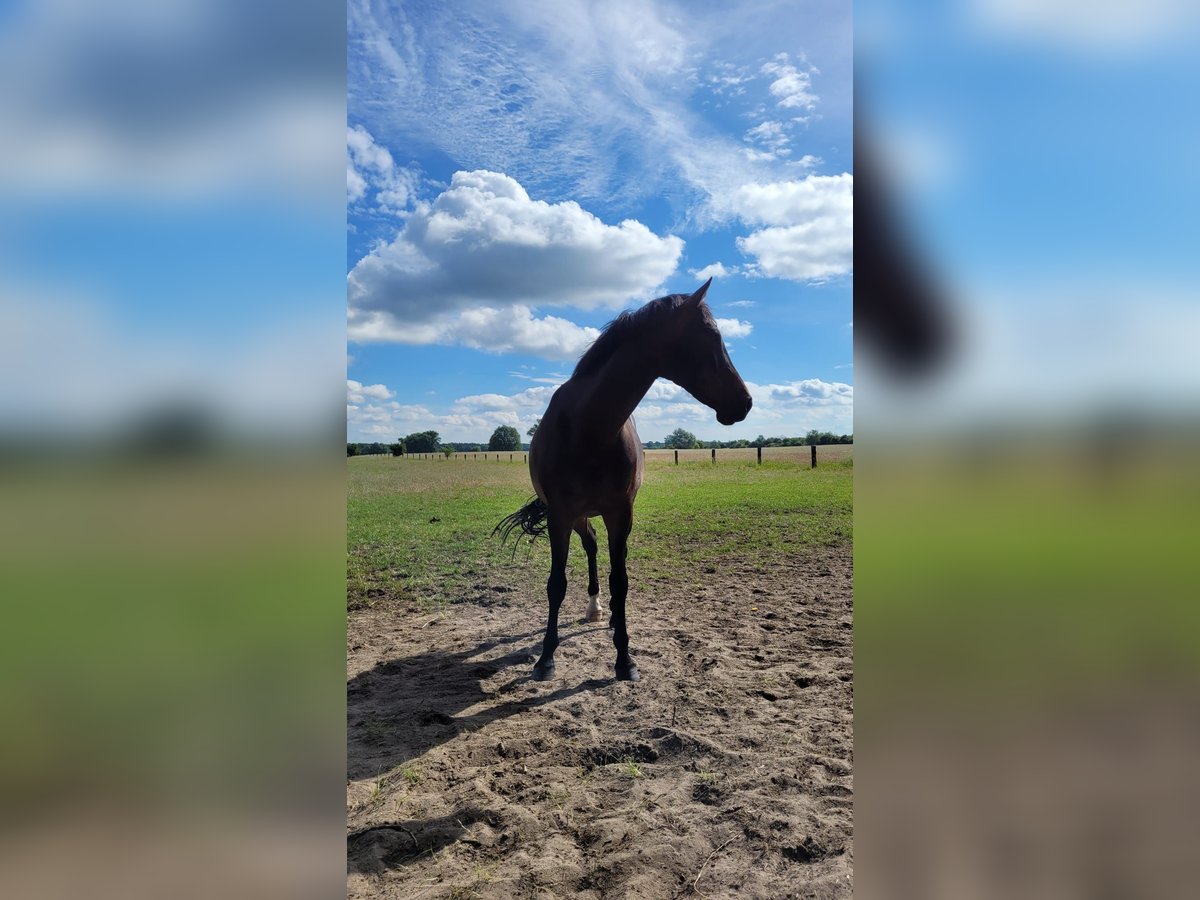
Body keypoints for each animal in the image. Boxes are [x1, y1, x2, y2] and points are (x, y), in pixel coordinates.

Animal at [492, 282, 744, 681]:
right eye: (712, 337)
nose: (744, 401)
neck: (590, 427)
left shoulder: (620, 512)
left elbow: (621, 581)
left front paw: (625, 658)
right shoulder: (561, 515)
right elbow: (556, 584)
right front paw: (546, 658)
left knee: (613, 558)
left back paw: (609, 615)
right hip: (579, 516)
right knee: (592, 546)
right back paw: (595, 608)